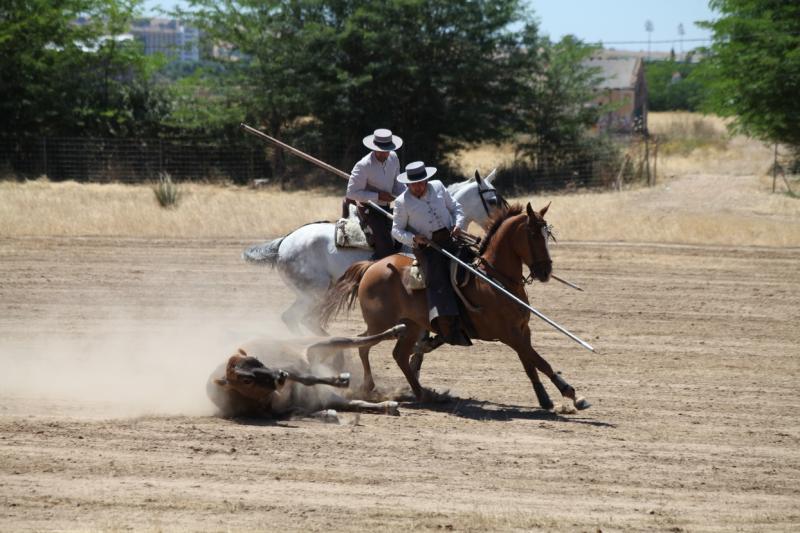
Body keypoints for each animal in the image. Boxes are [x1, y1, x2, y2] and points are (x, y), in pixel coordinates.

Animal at [208, 324, 406, 420]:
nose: (278, 378)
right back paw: (388, 405)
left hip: (322, 344)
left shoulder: (287, 368)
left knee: (354, 340)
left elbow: (306, 378)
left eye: (257, 360)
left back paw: (395, 331)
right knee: (354, 402)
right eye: (246, 380)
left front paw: (340, 379)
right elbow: (297, 411)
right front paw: (327, 414)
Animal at [318, 202, 588, 410]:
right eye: (532, 235)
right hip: (381, 323)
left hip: (411, 325)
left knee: (400, 355)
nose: (545, 271)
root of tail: (372, 266)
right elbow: (539, 360)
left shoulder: (522, 330)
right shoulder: (508, 334)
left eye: (547, 235)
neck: (493, 279)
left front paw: (545, 399)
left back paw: (423, 393)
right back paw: (370, 387)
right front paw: (572, 393)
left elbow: (529, 363)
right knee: (363, 344)